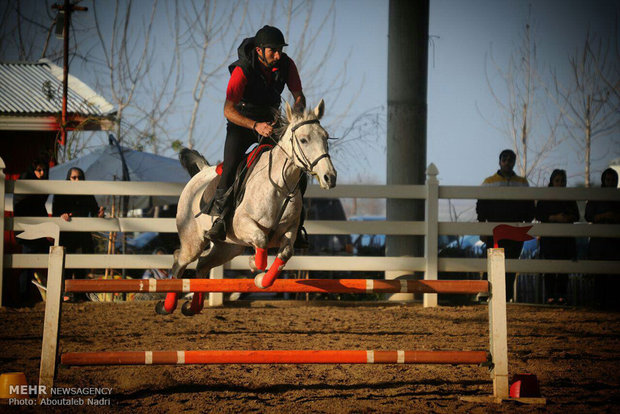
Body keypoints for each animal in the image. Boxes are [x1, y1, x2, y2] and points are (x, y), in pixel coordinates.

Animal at [157, 99, 336, 314]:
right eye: (303, 140)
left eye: (326, 137)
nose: (330, 177)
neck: (280, 185)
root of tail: (201, 173)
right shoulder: (242, 224)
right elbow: (261, 241)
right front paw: (253, 264)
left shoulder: (290, 230)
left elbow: (285, 253)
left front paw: (261, 279)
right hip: (194, 240)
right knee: (180, 261)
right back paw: (166, 306)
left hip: (228, 247)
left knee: (202, 265)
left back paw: (192, 307)